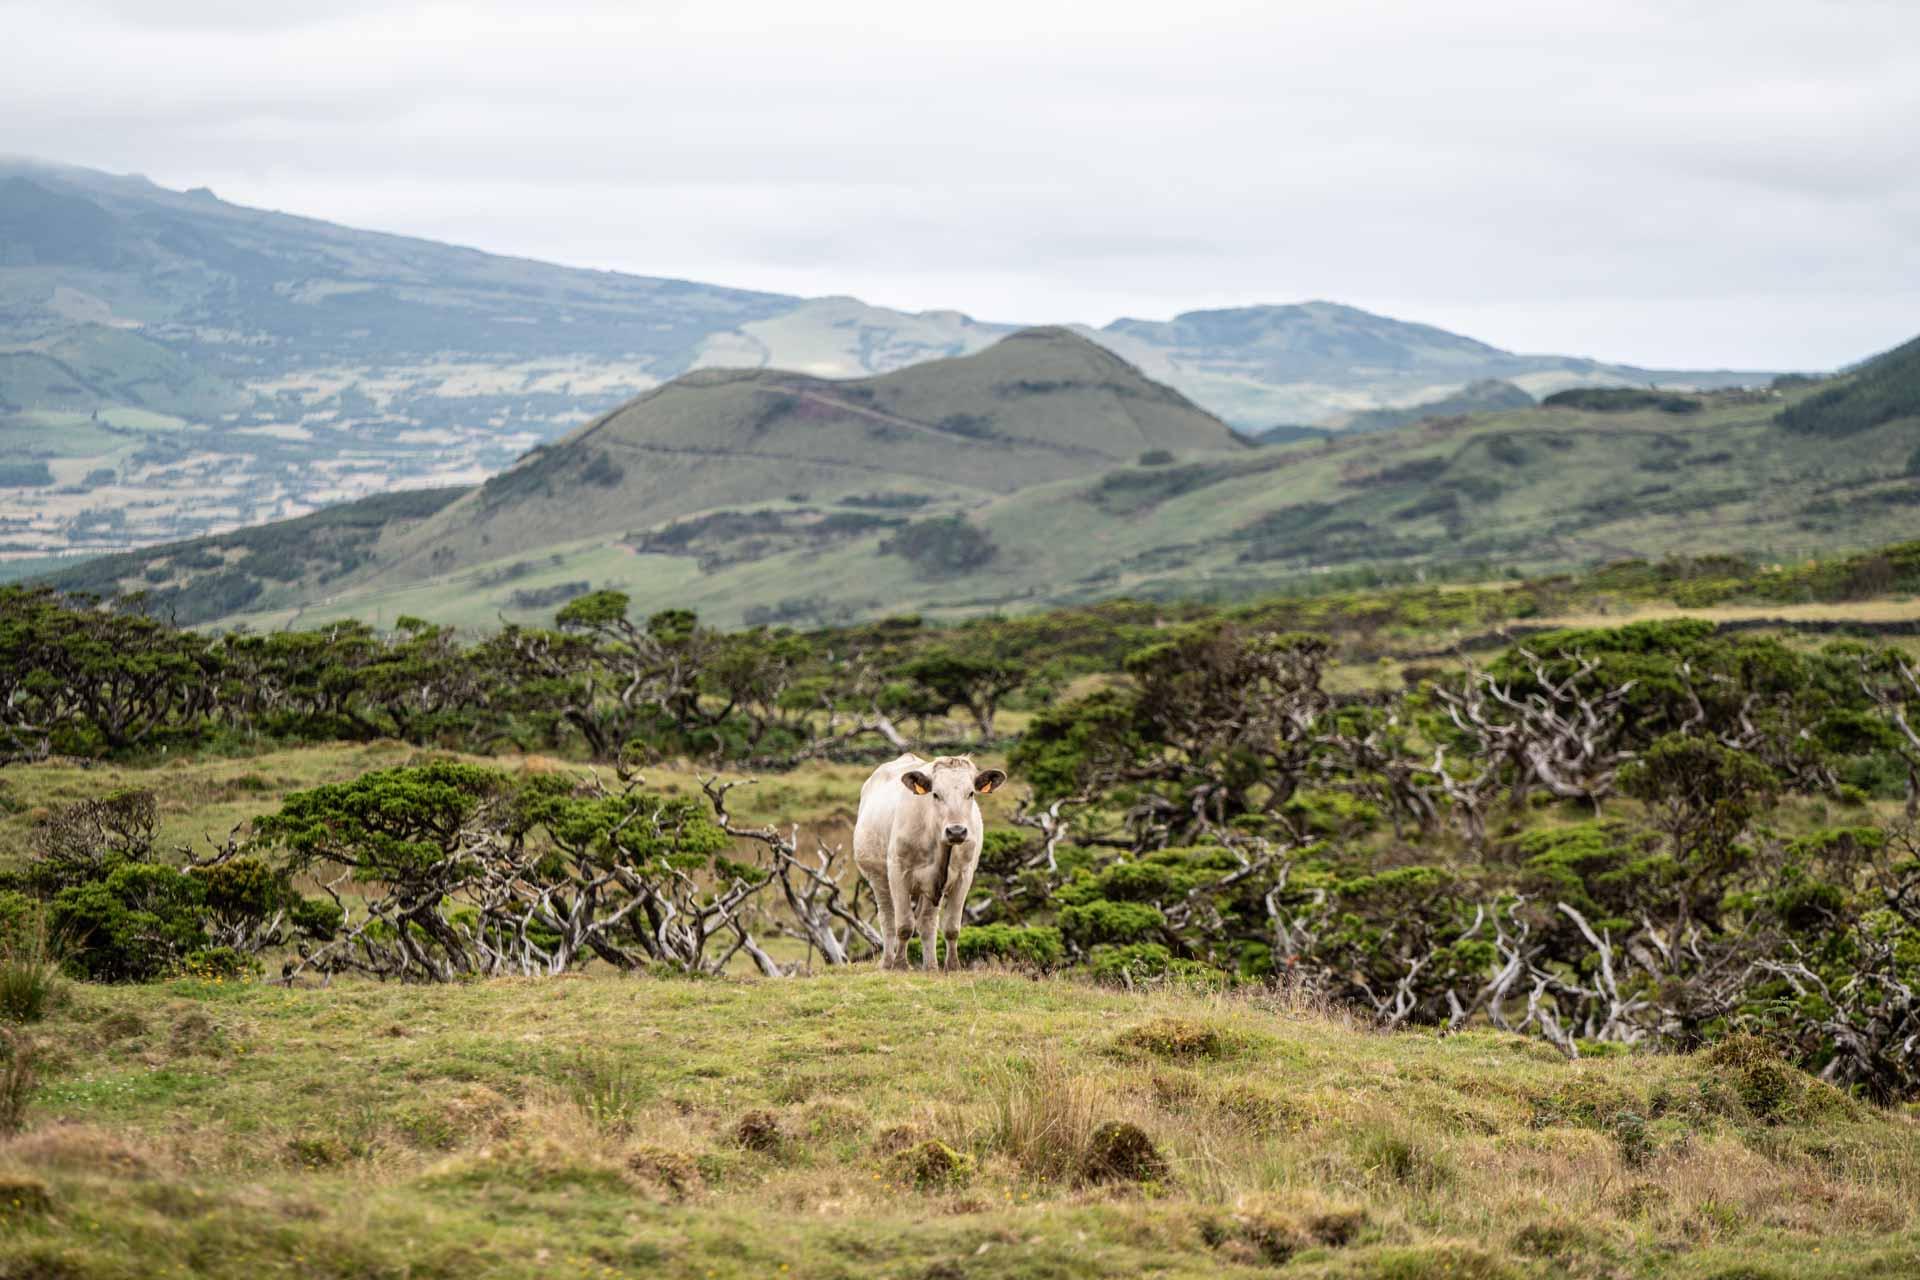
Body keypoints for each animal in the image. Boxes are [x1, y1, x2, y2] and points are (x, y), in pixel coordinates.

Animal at [852, 752, 1006, 971]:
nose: (956, 831)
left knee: (927, 922)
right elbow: (904, 925)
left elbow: (951, 927)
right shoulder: (898, 872)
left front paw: (953, 966)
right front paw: (900, 965)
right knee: (888, 918)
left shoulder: (964, 876)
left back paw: (931, 966)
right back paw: (887, 962)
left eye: (971, 793)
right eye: (935, 794)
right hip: (878, 878)